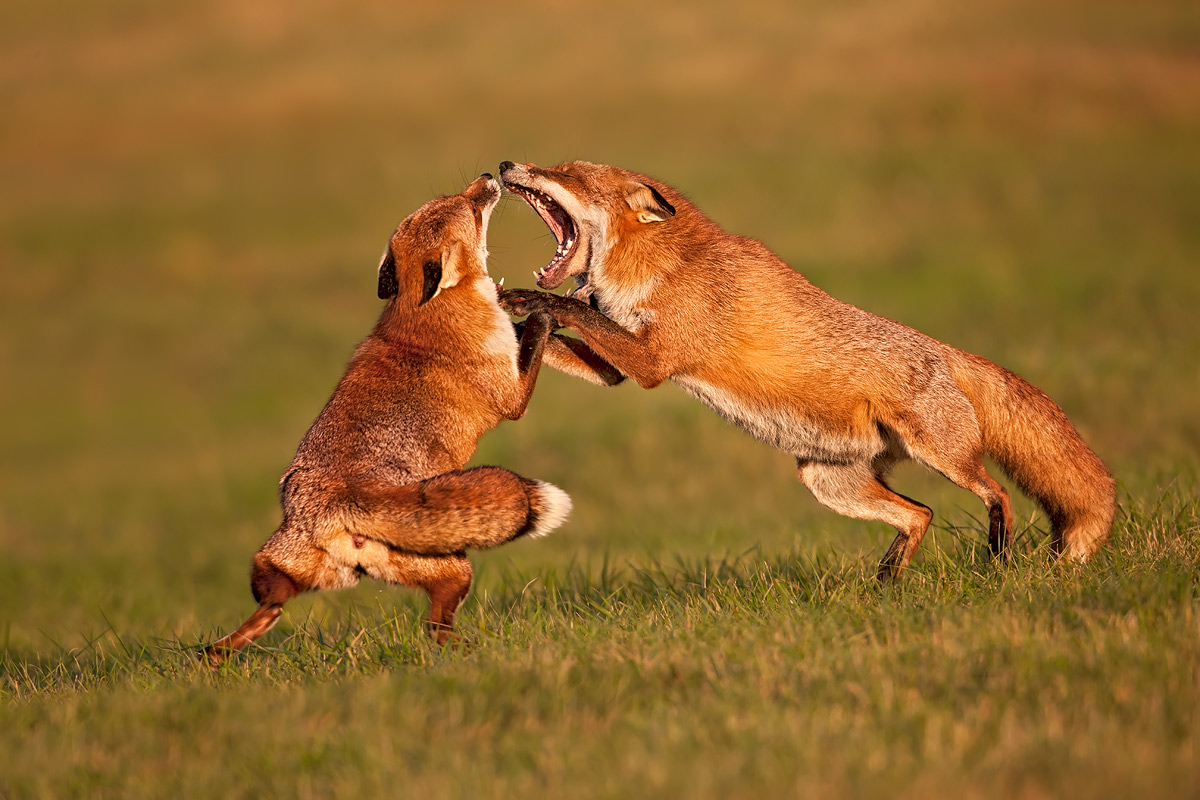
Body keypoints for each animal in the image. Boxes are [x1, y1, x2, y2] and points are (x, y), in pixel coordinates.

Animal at [204, 174, 620, 666]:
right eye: (471, 209)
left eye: (454, 197)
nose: (488, 177)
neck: (427, 311)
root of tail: (336, 503)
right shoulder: (512, 396)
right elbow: (536, 333)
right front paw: (544, 308)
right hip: (455, 569)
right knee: (435, 629)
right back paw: (472, 651)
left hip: (277, 569)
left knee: (266, 609)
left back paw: (211, 655)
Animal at [496, 159, 1115, 580]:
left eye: (565, 173)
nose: (504, 165)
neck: (658, 269)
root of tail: (943, 350)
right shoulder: (618, 369)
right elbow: (565, 326)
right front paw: (509, 315)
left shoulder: (653, 361)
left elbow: (574, 309)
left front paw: (530, 300)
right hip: (829, 480)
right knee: (920, 515)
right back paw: (886, 584)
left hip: (942, 454)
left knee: (997, 494)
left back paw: (997, 556)